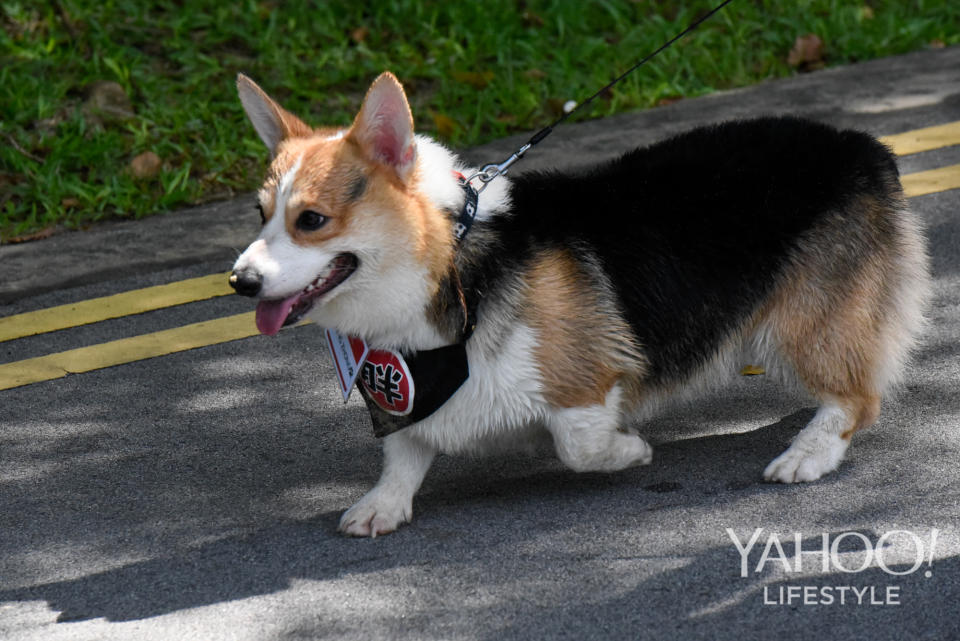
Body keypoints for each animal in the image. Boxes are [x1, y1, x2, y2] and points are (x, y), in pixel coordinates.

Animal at [229, 72, 928, 536]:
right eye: (261, 215)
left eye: (312, 220)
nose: (239, 281)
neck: (450, 259)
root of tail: (865, 146)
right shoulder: (406, 389)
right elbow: (404, 449)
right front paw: (384, 504)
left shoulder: (585, 378)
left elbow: (579, 444)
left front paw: (631, 451)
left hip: (803, 327)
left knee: (857, 398)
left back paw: (807, 454)